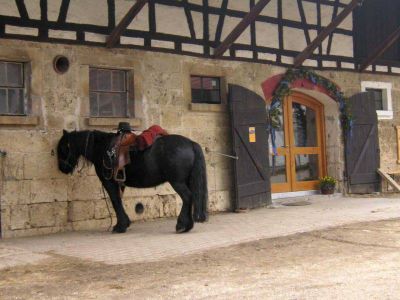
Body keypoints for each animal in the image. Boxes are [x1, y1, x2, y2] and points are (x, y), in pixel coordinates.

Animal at [57, 130, 208, 233]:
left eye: (62, 148)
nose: (62, 168)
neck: (102, 149)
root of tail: (190, 143)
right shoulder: (119, 183)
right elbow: (118, 200)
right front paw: (124, 223)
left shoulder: (109, 183)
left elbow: (115, 201)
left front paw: (120, 226)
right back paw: (187, 225)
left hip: (178, 182)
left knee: (187, 197)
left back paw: (182, 225)